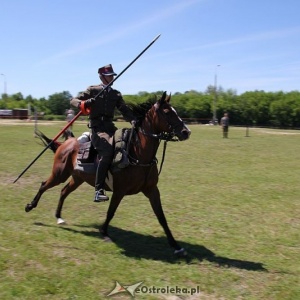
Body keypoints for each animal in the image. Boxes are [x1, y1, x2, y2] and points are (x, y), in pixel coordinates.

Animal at [25, 92, 190, 255]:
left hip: (77, 178)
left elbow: (161, 216)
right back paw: (30, 206)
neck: (137, 154)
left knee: (64, 191)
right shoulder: (119, 191)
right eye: (167, 112)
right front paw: (104, 233)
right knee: (44, 185)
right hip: (60, 174)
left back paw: (59, 217)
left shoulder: (152, 190)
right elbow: (111, 212)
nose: (186, 132)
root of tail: (67, 142)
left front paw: (176, 245)